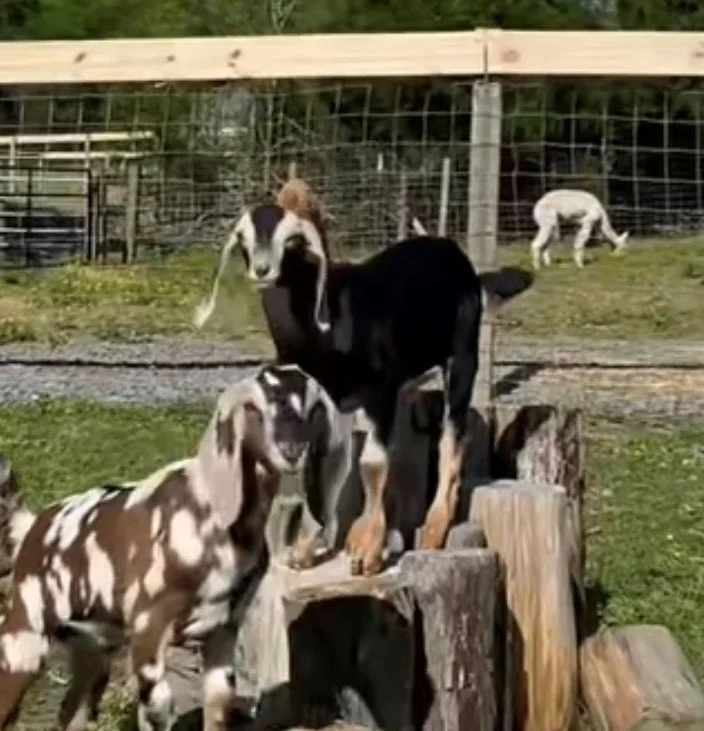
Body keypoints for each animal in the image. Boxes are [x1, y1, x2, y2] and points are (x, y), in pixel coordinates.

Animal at [0, 364, 341, 731]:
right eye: (252, 407)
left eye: (313, 408)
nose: (291, 450)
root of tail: (33, 526)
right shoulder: (148, 629)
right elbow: (159, 708)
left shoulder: (222, 631)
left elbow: (219, 708)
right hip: (25, 637)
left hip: (93, 647)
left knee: (71, 711)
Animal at [194, 180, 533, 576]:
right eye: (243, 238)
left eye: (292, 240)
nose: (263, 269)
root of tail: (463, 265)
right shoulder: (327, 400)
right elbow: (321, 467)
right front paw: (304, 550)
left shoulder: (380, 390)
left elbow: (371, 464)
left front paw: (368, 554)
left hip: (462, 358)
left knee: (451, 439)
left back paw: (433, 531)